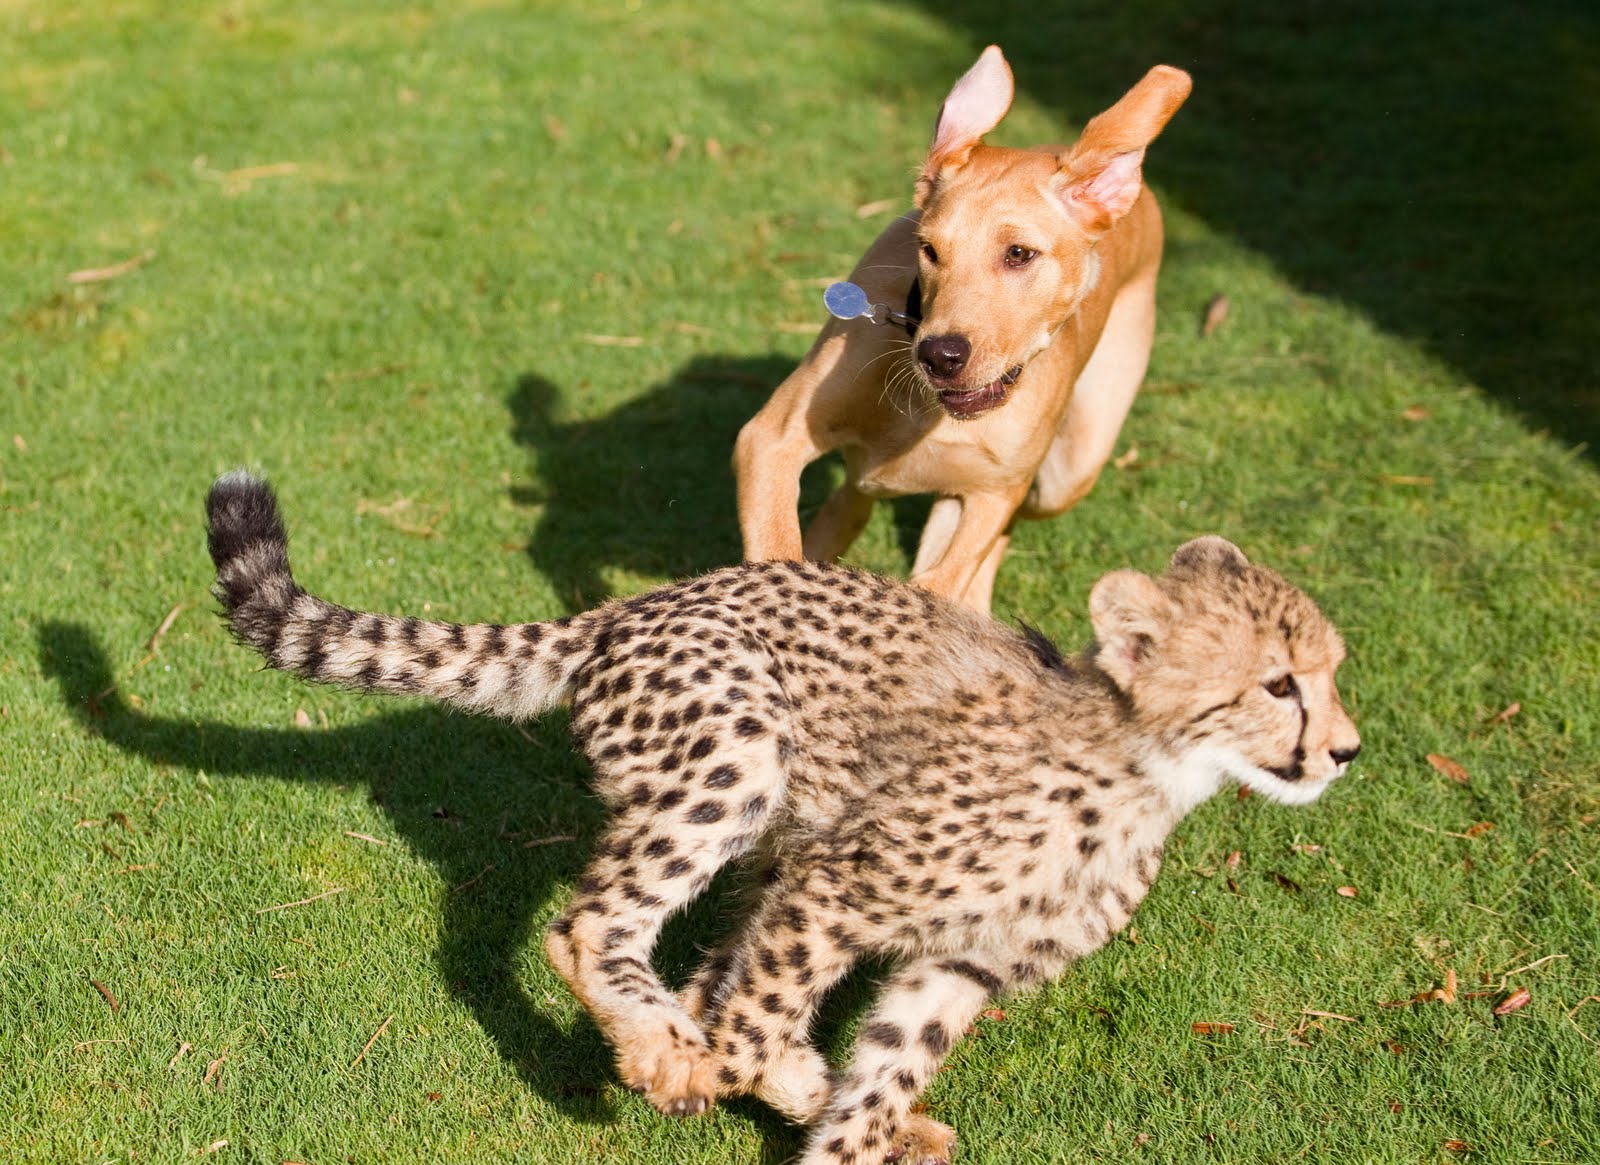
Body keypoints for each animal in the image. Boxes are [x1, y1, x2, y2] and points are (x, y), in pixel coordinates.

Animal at [206, 471, 1359, 1165]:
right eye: (1278, 684)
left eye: (1330, 673)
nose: (1344, 748)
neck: (1140, 772)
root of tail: (632, 604)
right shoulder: (840, 885)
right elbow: (753, 1022)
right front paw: (707, 1069)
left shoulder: (959, 961)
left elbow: (883, 1063)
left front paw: (848, 1128)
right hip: (738, 750)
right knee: (594, 926)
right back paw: (671, 1046)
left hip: (773, 829)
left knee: (706, 960)